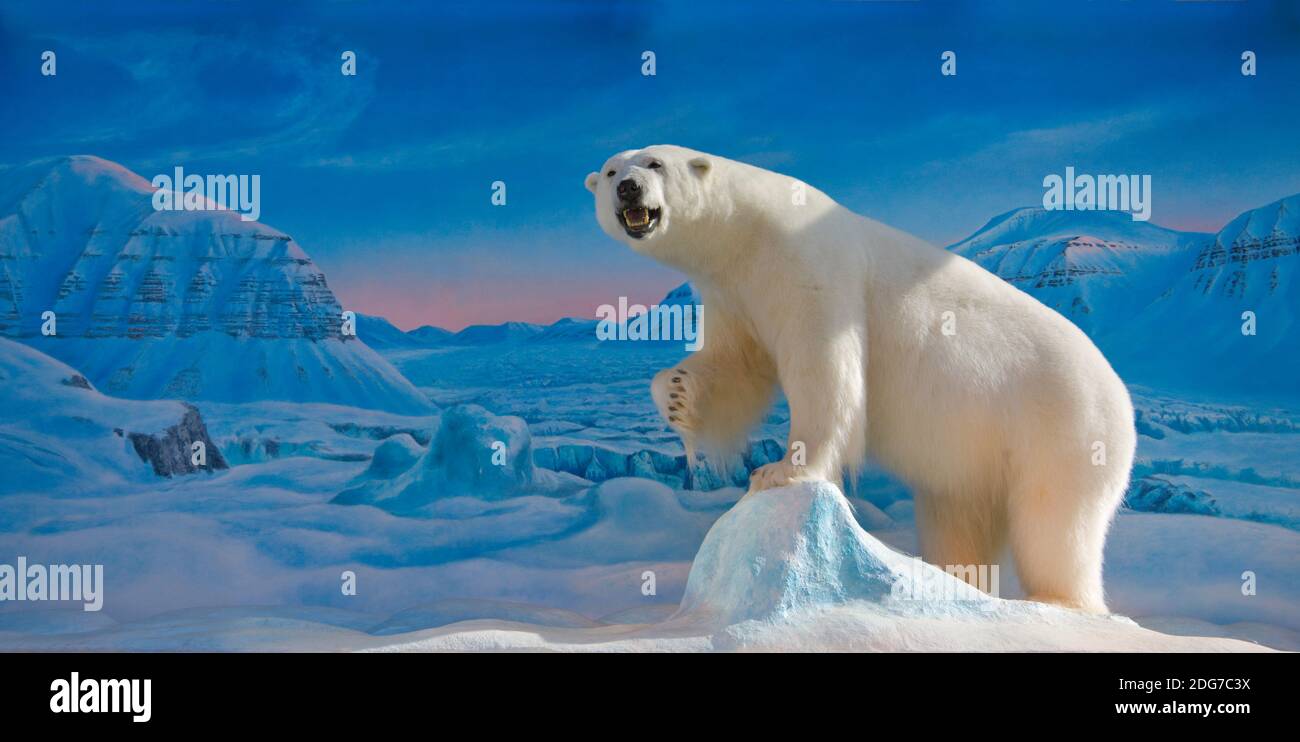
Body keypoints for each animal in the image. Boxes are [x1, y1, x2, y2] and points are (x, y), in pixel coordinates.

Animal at [585, 144, 1133, 615]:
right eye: (610, 171)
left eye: (654, 163)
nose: (628, 188)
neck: (747, 233)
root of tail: (1121, 396)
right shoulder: (733, 292)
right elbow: (736, 364)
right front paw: (677, 395)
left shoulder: (810, 266)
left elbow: (822, 368)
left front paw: (780, 471)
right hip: (973, 459)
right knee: (959, 519)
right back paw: (955, 580)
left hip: (1061, 422)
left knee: (1055, 520)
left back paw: (1056, 600)